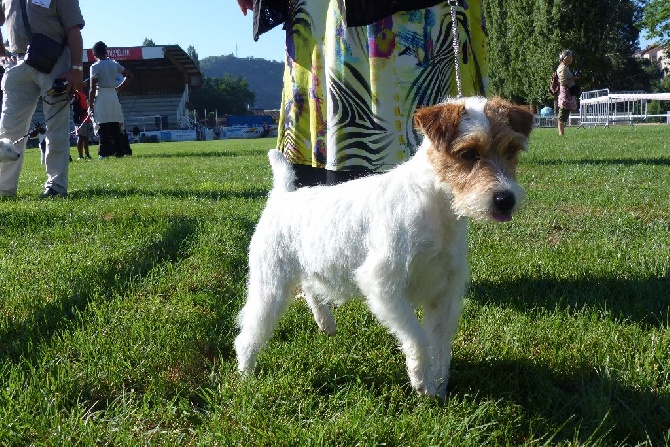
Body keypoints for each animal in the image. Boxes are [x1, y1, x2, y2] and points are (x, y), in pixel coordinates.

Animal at [236, 96, 536, 398]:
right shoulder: (383, 284)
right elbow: (417, 336)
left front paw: (439, 387)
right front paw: (422, 381)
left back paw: (326, 324)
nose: (505, 200)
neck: (436, 204)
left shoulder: (444, 292)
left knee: (311, 289)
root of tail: (282, 196)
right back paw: (246, 374)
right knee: (249, 331)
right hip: (270, 285)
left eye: (511, 149)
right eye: (468, 153)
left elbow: (440, 345)